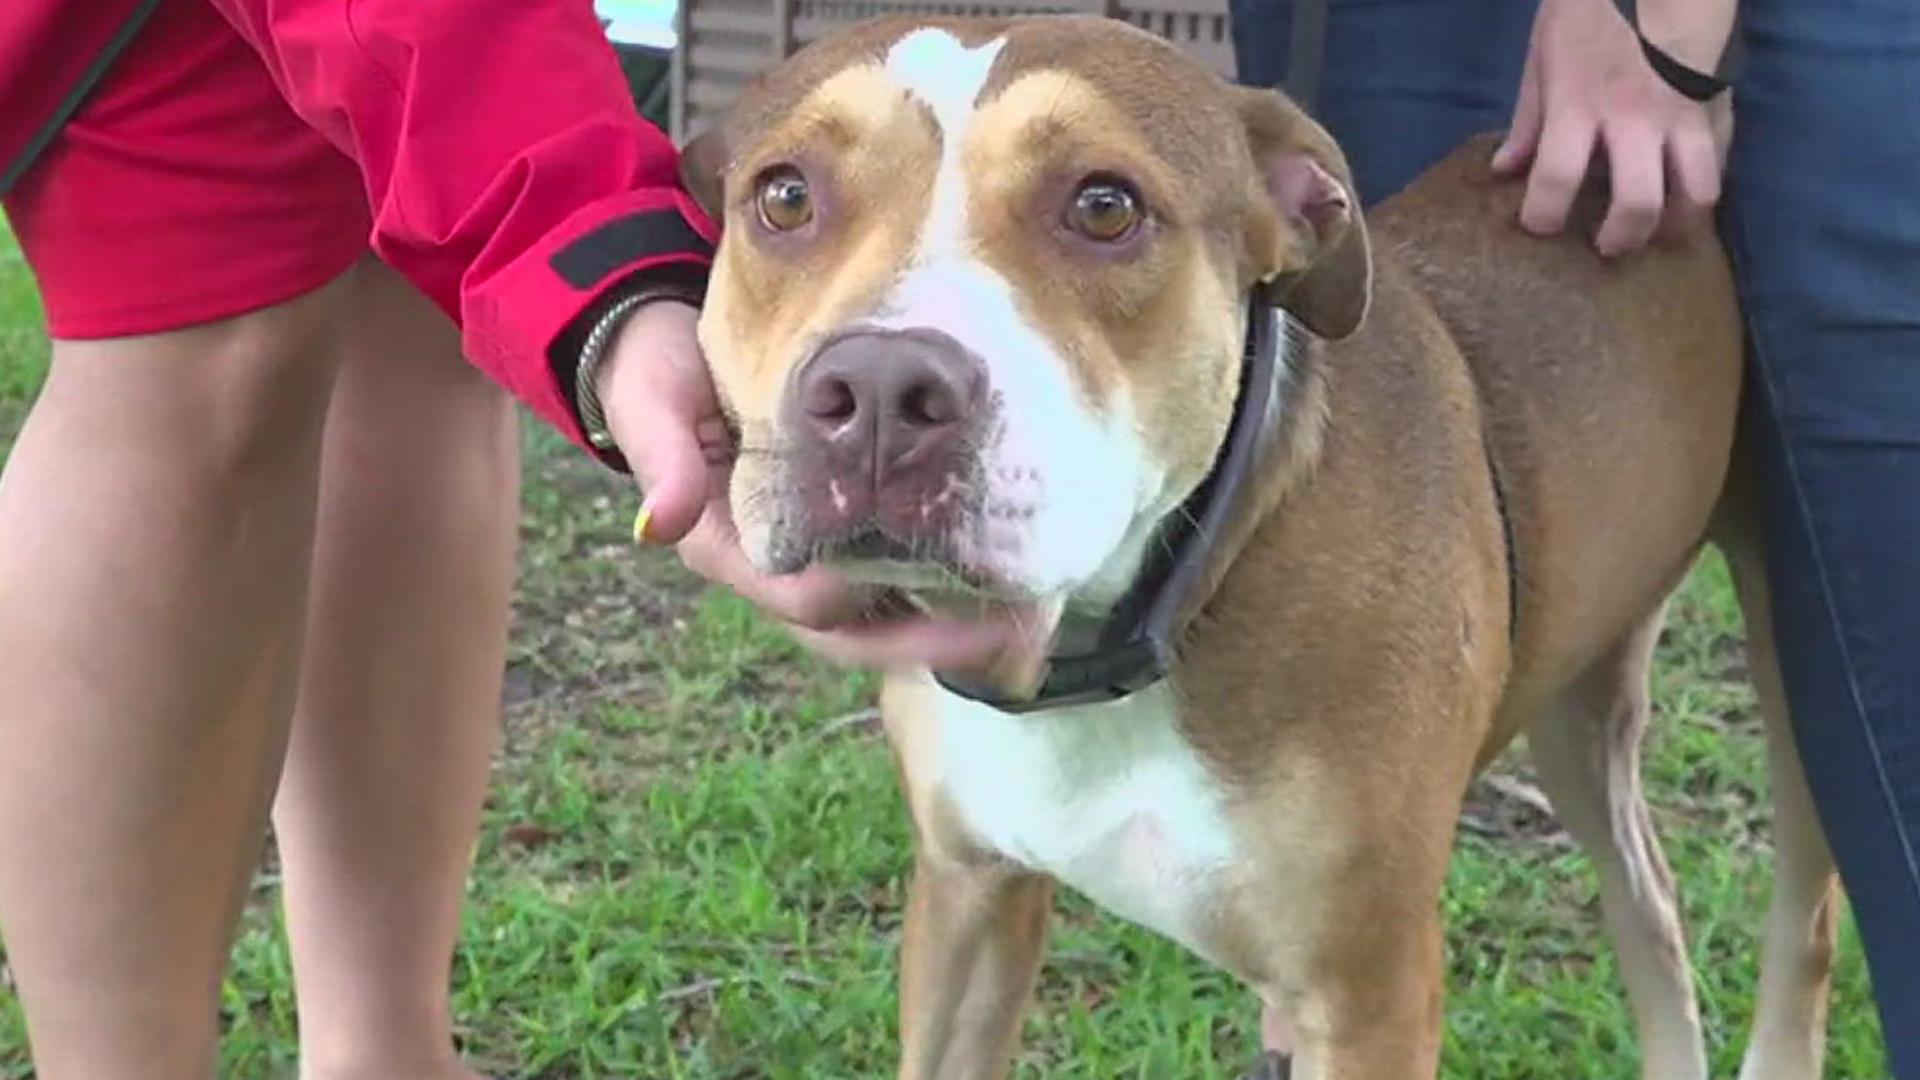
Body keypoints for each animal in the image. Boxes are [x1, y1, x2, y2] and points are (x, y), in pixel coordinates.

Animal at [683, 12, 1835, 1068]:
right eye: (785, 196)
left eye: (1104, 205)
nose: (879, 392)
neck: (1126, 628)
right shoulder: (970, 895)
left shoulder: (1368, 990)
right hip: (1578, 689)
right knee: (1650, 906)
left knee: (1806, 920)